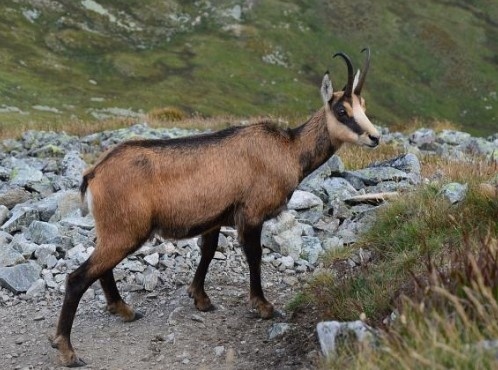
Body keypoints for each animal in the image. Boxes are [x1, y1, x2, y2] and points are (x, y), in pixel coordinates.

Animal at [49, 49, 378, 368]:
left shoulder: (215, 218)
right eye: (342, 111)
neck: (288, 150)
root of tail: (93, 174)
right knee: (78, 278)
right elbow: (254, 255)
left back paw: (124, 310)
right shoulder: (252, 214)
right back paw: (68, 351)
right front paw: (263, 306)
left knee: (101, 269)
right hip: (126, 231)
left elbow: (207, 252)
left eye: (363, 106)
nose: (374, 137)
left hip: (115, 231)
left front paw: (201, 299)